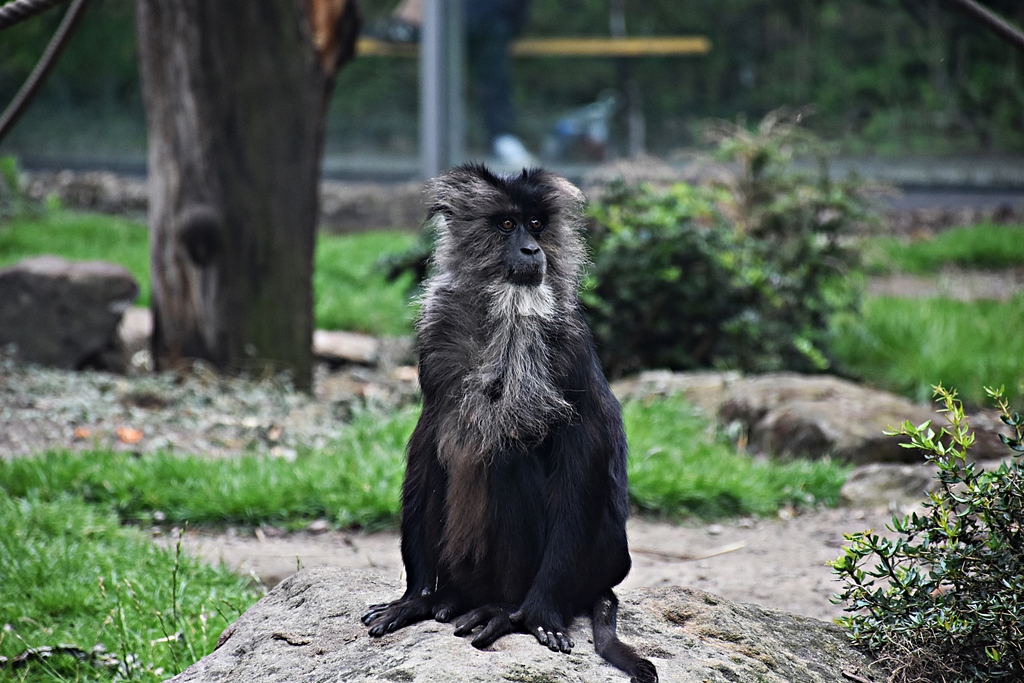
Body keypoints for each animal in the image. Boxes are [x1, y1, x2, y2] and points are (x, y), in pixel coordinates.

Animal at [362, 164, 658, 683]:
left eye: (536, 225)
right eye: (506, 225)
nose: (531, 251)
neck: (503, 315)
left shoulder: (569, 347)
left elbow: (583, 455)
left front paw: (535, 614)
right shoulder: (435, 342)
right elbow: (427, 442)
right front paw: (413, 598)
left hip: (595, 558)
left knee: (505, 454)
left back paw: (503, 607)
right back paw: (446, 596)